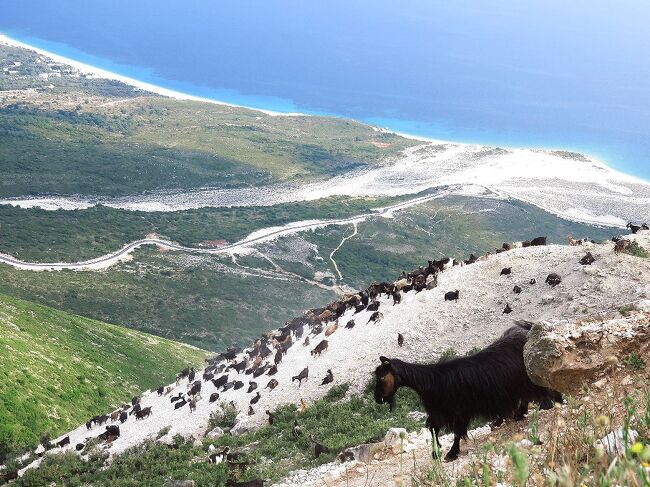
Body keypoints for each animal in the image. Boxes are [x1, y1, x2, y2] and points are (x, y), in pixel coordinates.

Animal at [374, 324, 560, 462]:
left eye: (381, 377)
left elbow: (457, 432)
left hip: (531, 377)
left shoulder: (458, 411)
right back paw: (517, 415)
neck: (433, 381)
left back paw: (549, 404)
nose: (377, 398)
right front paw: (436, 452)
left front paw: (451, 453)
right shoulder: (439, 412)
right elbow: (433, 429)